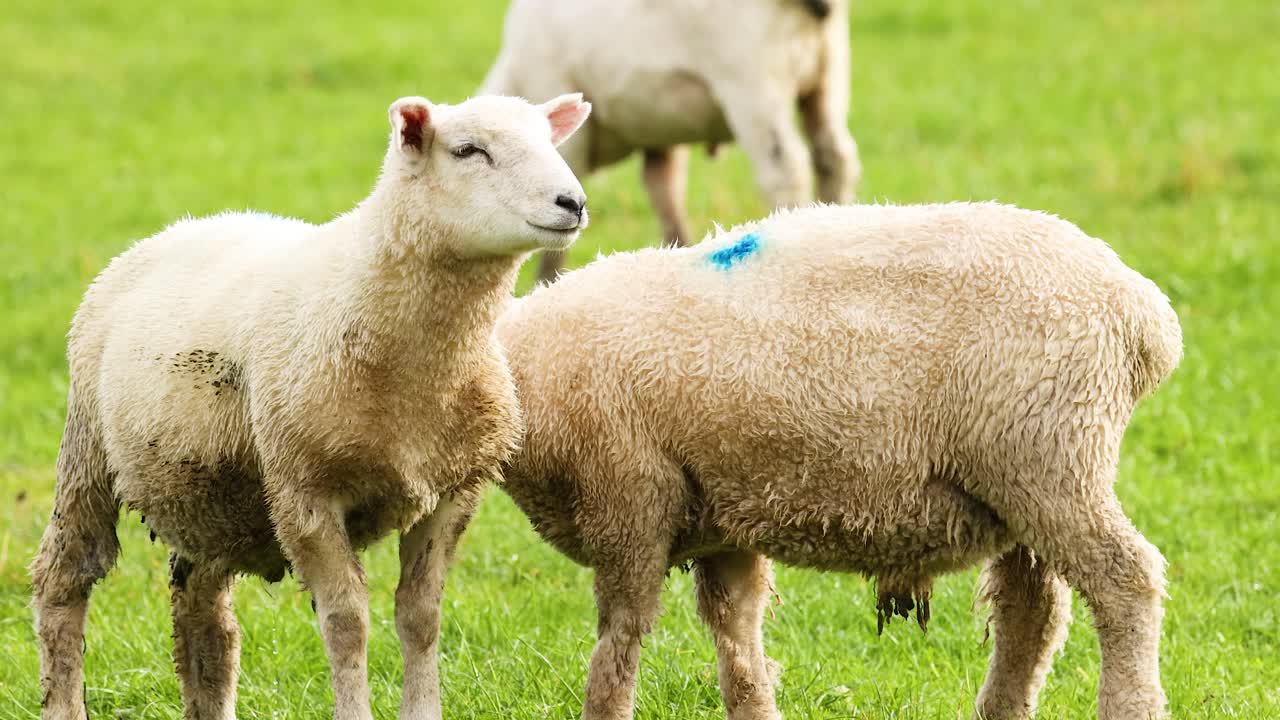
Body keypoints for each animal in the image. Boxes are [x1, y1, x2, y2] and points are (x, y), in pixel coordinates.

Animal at [30, 92, 592, 720]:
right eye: (468, 150)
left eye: (550, 141)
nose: (573, 203)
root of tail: (185, 226)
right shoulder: (306, 493)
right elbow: (347, 624)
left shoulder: (454, 490)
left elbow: (421, 617)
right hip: (86, 449)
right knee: (64, 580)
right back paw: (63, 697)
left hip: (211, 494)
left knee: (202, 616)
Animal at [481, 0, 861, 284]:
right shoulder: (659, 138)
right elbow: (665, 193)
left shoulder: (555, 87)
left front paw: (547, 283)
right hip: (829, 73)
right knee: (835, 157)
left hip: (751, 78)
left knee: (785, 168)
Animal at [494, 202, 1182, 720]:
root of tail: (1143, 314)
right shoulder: (718, 514)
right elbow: (736, 633)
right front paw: (755, 710)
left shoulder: (628, 500)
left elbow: (620, 639)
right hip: (1019, 480)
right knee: (1031, 614)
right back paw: (1002, 708)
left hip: (1050, 459)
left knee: (1126, 581)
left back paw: (1131, 706)